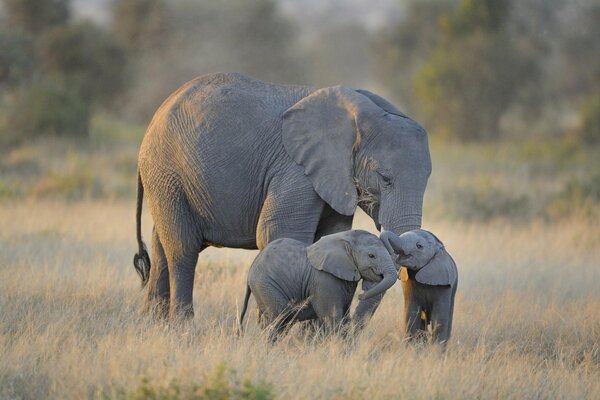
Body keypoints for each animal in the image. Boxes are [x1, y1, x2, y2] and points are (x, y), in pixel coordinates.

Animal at [133, 72, 428, 322]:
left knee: (161, 244)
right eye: (384, 178)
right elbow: (279, 232)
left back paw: (154, 325)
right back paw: (183, 327)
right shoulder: (295, 169)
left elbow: (330, 236)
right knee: (183, 248)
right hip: (166, 171)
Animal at [239, 231, 398, 338]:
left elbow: (344, 317)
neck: (345, 238)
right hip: (265, 284)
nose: (360, 295)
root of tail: (250, 272)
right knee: (280, 318)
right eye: (372, 256)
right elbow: (332, 318)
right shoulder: (324, 280)